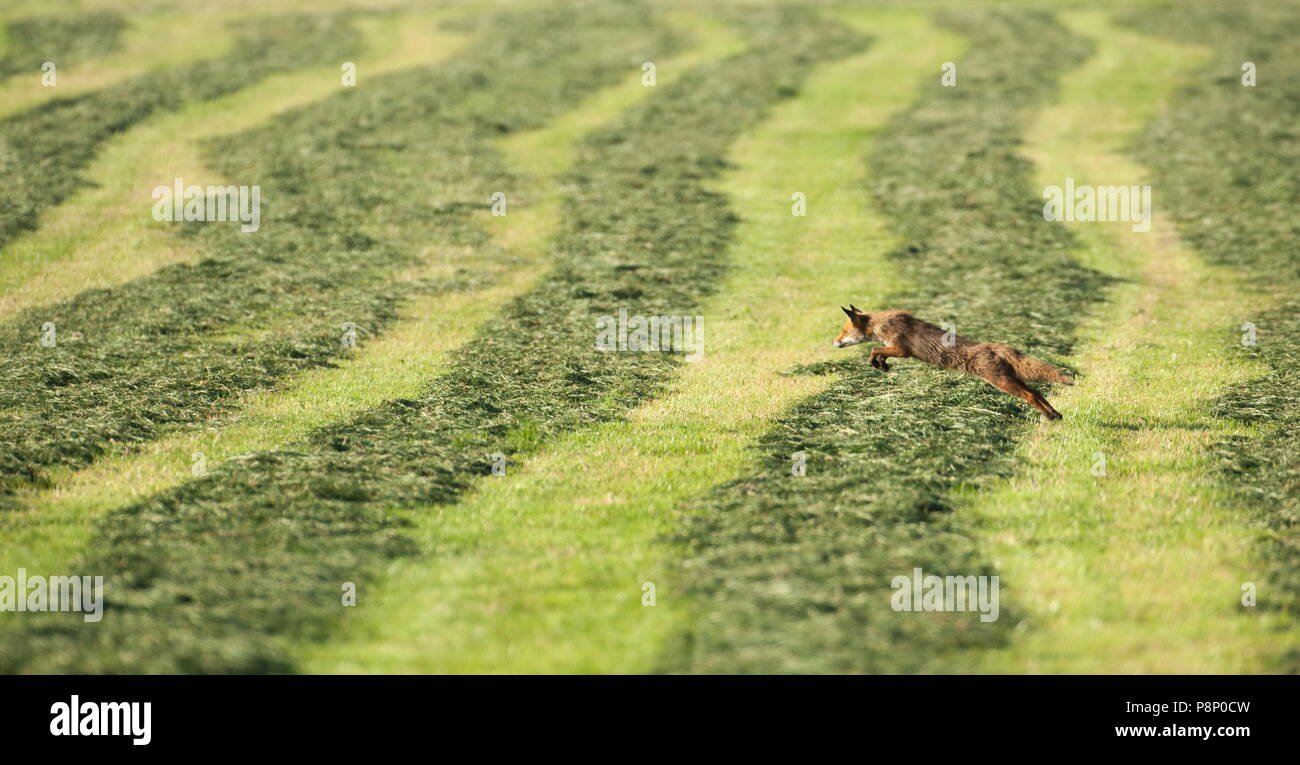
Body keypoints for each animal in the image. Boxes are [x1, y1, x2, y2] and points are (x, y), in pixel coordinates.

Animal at [837, 308, 1071, 421]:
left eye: (843, 332)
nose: (834, 342)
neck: (881, 323)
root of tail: (994, 346)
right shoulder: (896, 349)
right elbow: (880, 353)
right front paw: (882, 366)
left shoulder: (902, 350)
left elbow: (874, 350)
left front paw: (875, 362)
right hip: (1011, 381)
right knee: (1038, 393)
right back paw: (1056, 415)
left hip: (1004, 384)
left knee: (1031, 396)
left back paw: (1050, 416)